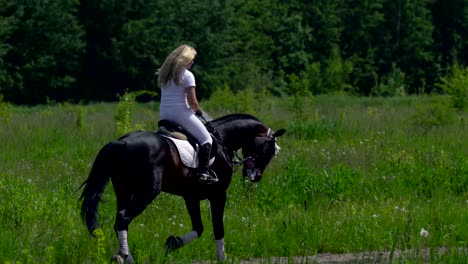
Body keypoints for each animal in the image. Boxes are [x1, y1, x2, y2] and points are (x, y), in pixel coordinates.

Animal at [79, 113, 286, 262]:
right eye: (269, 150)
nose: (255, 177)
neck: (222, 141)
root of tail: (121, 142)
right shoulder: (218, 195)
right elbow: (218, 228)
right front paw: (222, 258)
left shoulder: (191, 197)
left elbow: (199, 228)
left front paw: (172, 243)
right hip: (145, 193)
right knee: (123, 218)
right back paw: (125, 257)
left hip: (123, 190)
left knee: (120, 221)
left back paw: (126, 256)